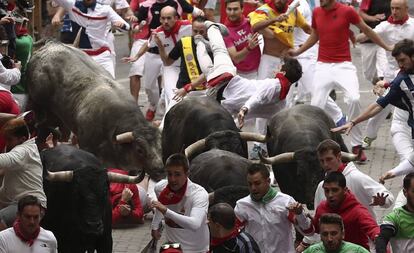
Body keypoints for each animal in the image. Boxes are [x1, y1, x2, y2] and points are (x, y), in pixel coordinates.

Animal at [24, 41, 163, 179]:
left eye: (160, 146)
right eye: (140, 150)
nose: (159, 170)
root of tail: (50, 44)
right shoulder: (87, 147)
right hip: (40, 109)